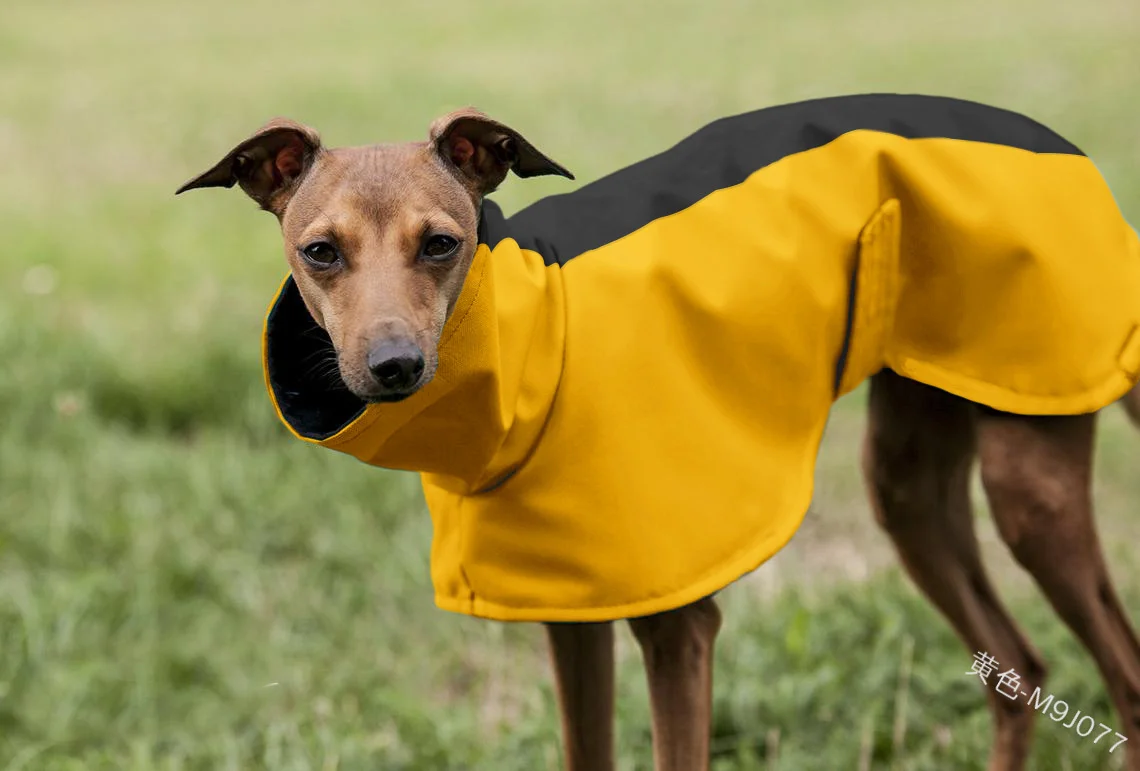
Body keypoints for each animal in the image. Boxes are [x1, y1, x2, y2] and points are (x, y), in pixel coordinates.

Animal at [180, 93, 1140, 766]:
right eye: (320, 251)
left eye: (441, 243)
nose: (392, 368)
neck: (540, 345)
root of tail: (1072, 153)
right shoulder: (570, 617)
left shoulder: (680, 628)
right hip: (910, 493)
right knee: (1020, 674)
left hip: (1030, 483)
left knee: (1124, 680)